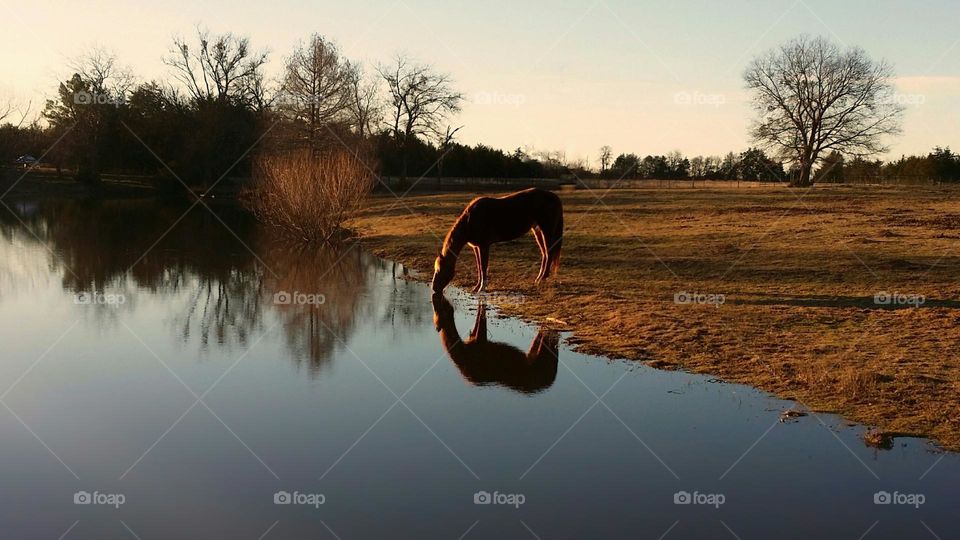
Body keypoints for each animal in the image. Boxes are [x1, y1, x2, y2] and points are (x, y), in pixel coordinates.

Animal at [430, 188, 564, 294]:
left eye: (439, 270)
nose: (434, 288)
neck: (471, 220)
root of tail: (554, 197)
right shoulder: (477, 247)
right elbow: (479, 267)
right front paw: (477, 287)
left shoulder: (484, 246)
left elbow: (483, 266)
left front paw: (481, 288)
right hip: (537, 231)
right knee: (545, 254)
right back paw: (538, 278)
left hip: (546, 231)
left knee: (549, 253)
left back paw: (542, 279)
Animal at [432, 294, 560, 394]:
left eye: (442, 306)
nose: (435, 297)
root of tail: (552, 378)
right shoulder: (475, 339)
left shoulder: (480, 342)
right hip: (534, 353)